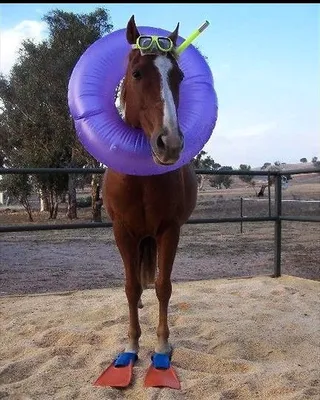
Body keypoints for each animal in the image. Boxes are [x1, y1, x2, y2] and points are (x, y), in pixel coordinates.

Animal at [102, 14, 198, 360]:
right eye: (137, 73)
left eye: (179, 76)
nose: (169, 143)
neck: (140, 181)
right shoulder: (122, 231)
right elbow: (130, 287)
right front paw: (131, 344)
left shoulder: (169, 230)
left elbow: (163, 286)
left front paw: (162, 344)